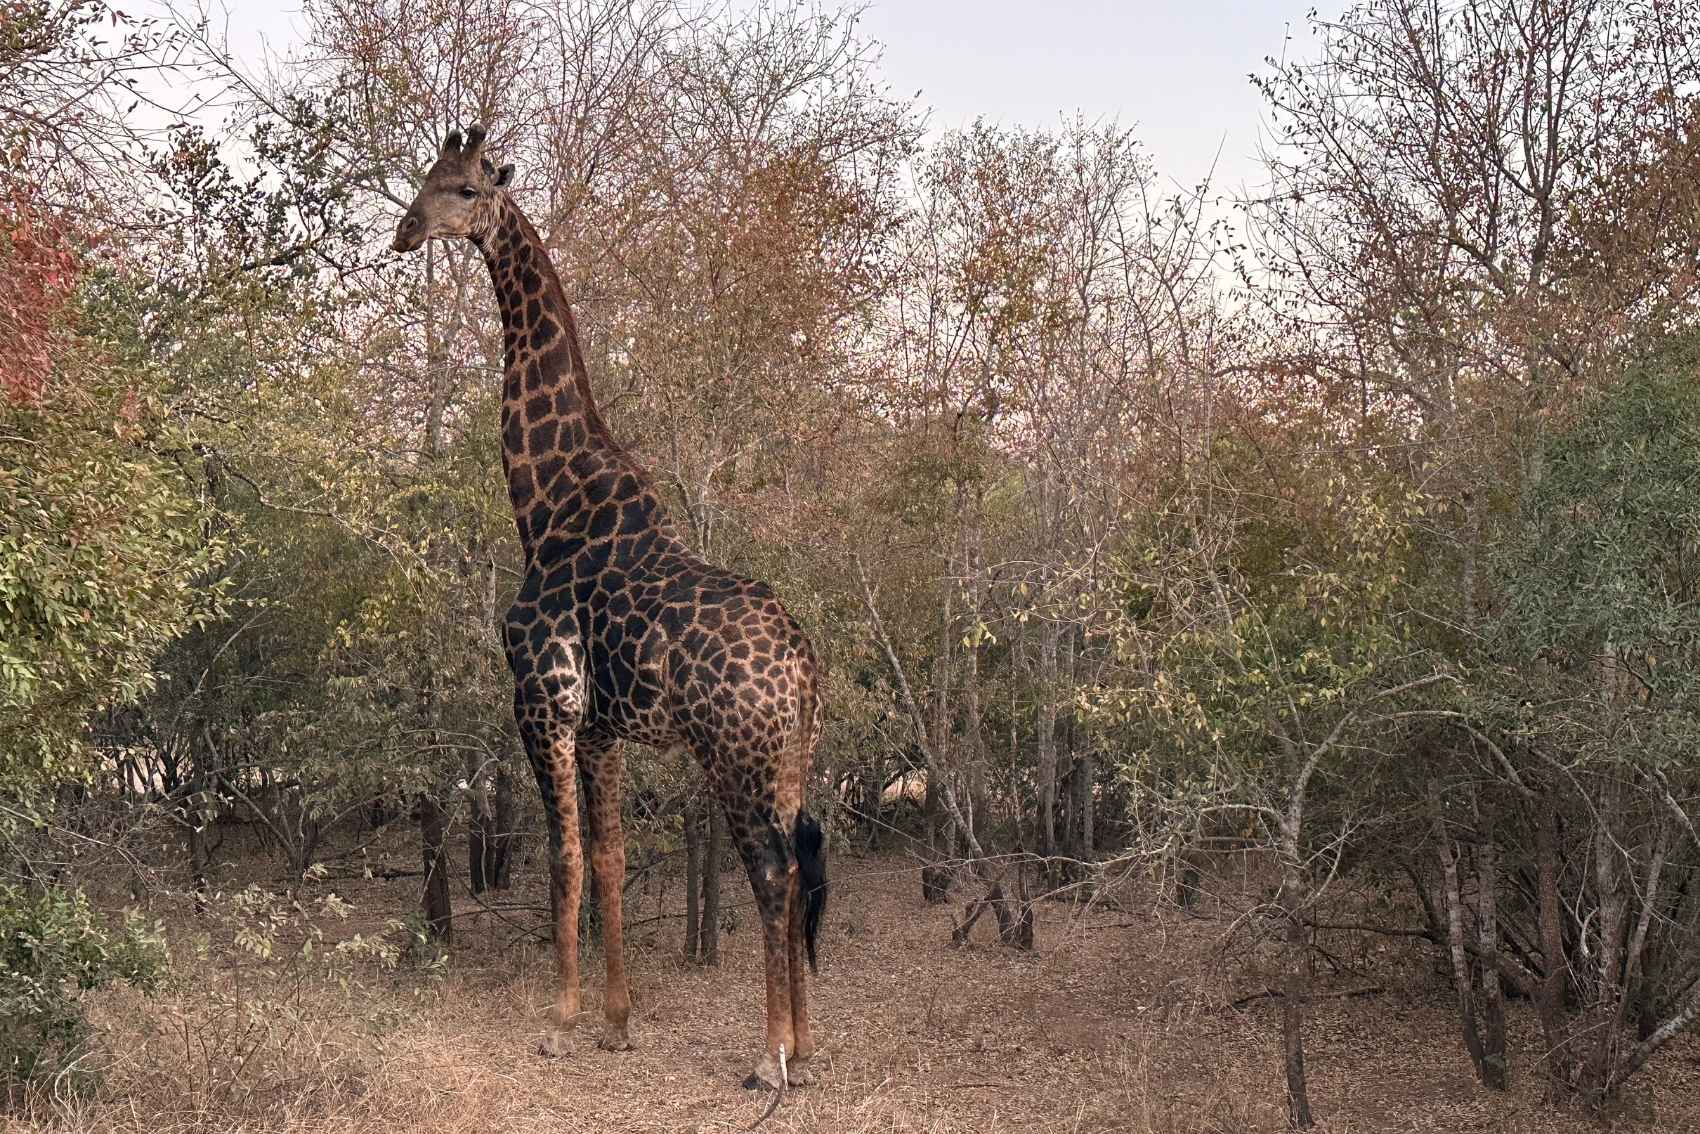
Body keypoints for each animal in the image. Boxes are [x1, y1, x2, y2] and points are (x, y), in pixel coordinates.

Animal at [390, 125, 826, 1091]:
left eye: (468, 189)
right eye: (427, 178)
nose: (405, 232)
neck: (544, 500)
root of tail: (801, 665)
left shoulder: (541, 700)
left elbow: (565, 858)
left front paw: (560, 1022)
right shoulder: (600, 726)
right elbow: (614, 855)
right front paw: (618, 1023)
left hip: (733, 755)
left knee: (773, 873)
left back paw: (769, 1056)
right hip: (790, 758)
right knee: (803, 859)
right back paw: (807, 1045)